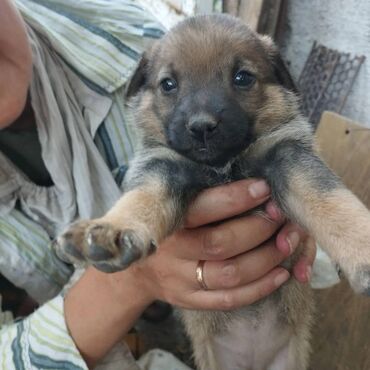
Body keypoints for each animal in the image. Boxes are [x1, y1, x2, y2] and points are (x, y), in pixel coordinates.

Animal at [56, 15, 370, 370]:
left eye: (242, 78)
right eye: (168, 84)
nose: (202, 126)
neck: (222, 165)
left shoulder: (288, 154)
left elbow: (329, 198)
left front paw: (362, 248)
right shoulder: (165, 167)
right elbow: (141, 200)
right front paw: (111, 229)